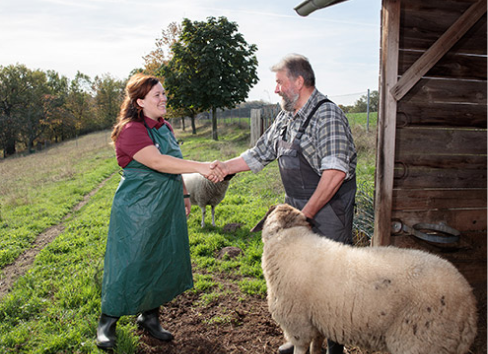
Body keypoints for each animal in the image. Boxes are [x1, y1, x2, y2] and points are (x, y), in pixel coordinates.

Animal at [252, 203, 476, 354]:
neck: (287, 237)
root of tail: (469, 304)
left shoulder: (298, 325)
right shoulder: (315, 322)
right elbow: (316, 346)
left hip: (421, 340)